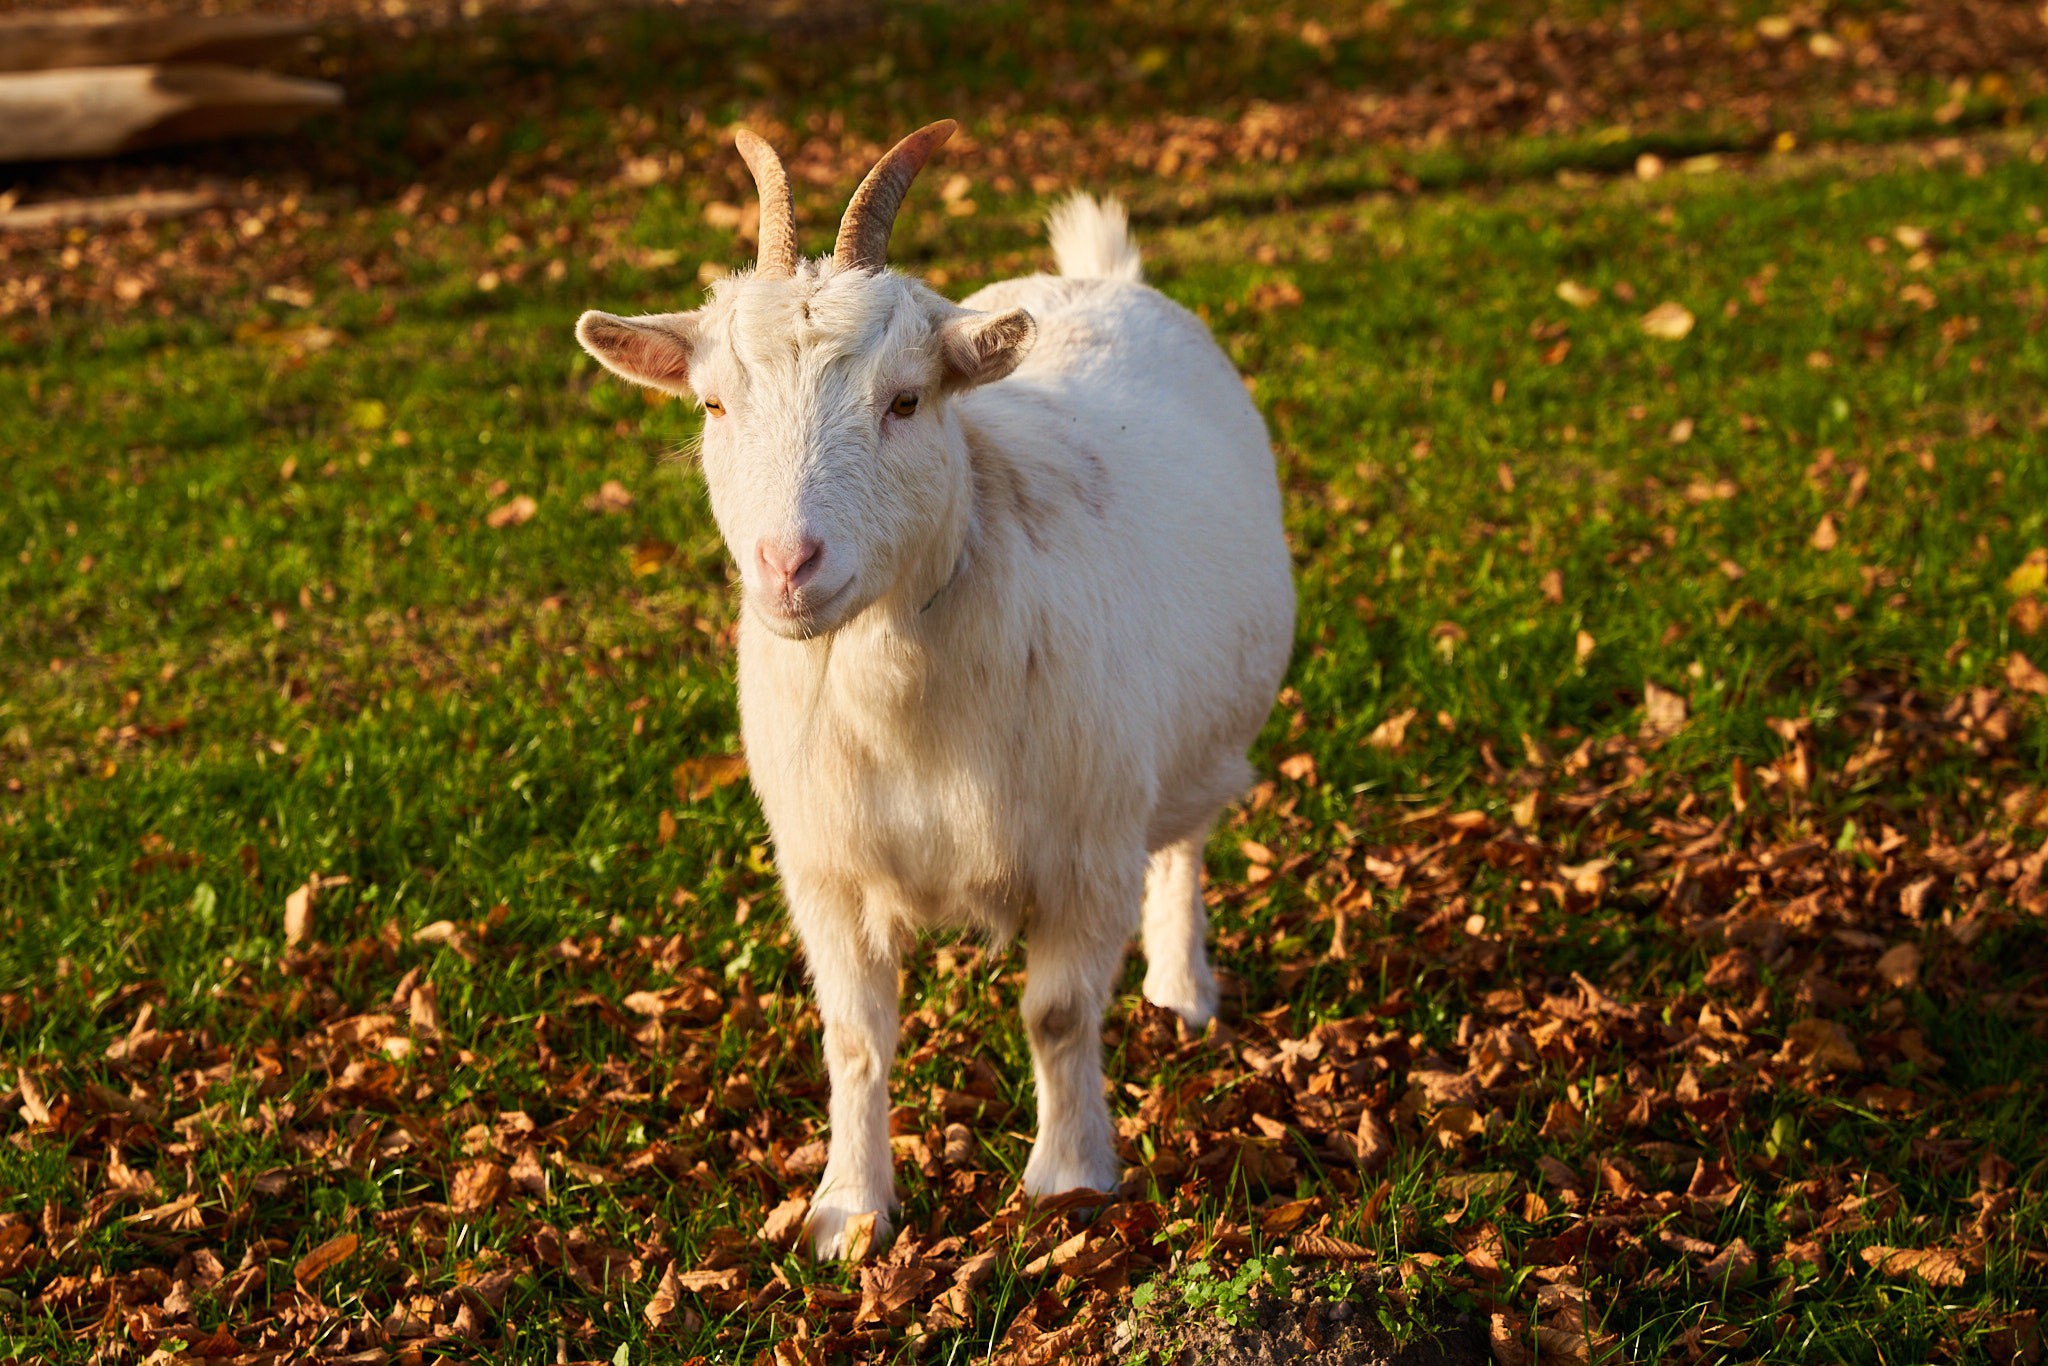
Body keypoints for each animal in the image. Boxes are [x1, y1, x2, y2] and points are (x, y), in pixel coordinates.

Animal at [569, 122, 1286, 1253]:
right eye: (714, 404)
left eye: (906, 399)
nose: (788, 565)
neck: (904, 710)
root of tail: (1099, 276)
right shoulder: (825, 868)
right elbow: (856, 1038)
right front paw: (847, 1209)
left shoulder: (1086, 848)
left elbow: (1057, 1016)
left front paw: (1069, 1179)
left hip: (1183, 747)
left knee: (1182, 842)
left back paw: (1181, 988)